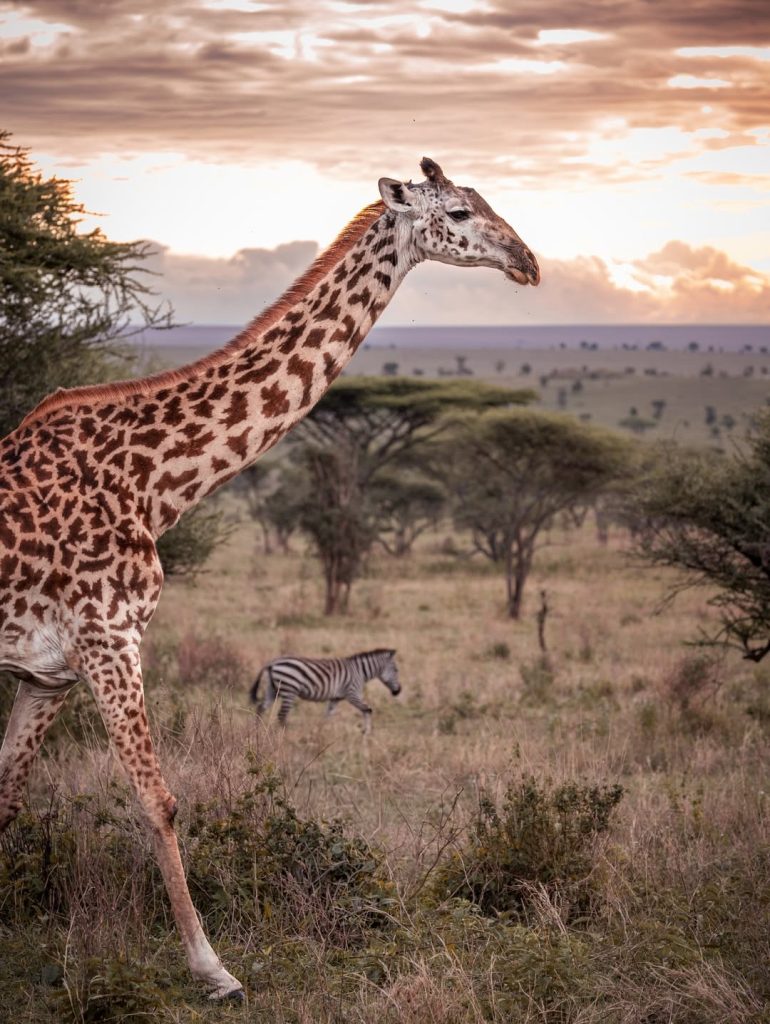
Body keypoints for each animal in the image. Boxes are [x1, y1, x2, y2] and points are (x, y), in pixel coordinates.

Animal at [0, 157, 539, 998]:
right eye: (457, 211)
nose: (528, 262)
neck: (152, 482)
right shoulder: (108, 639)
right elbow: (158, 800)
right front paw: (214, 969)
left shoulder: (46, 670)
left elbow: (8, 798)